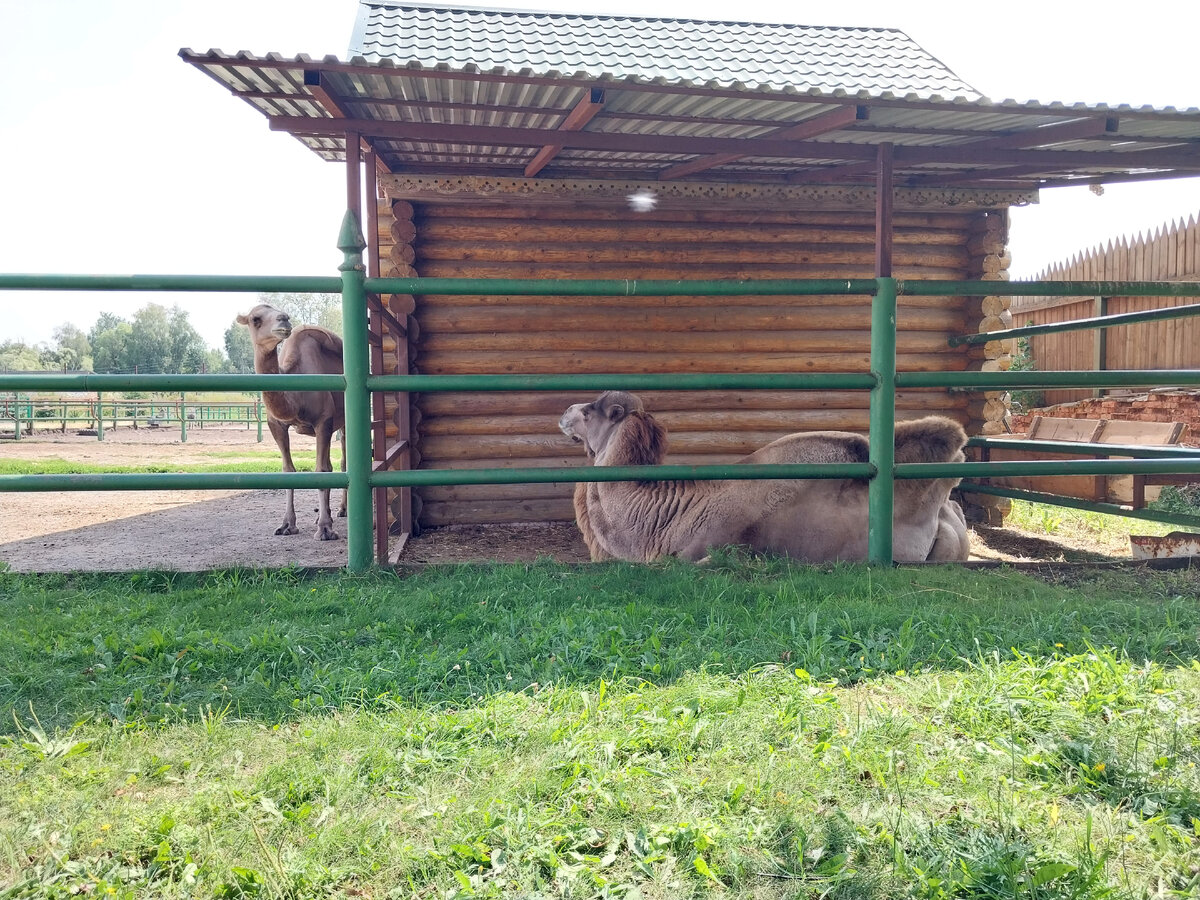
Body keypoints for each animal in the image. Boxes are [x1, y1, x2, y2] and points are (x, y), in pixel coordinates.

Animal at [235, 303, 345, 542]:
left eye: (279, 312)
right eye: (255, 319)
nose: (284, 319)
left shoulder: (324, 421)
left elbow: (321, 470)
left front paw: (325, 529)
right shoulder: (276, 425)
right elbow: (288, 471)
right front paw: (287, 525)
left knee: (342, 462)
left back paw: (342, 511)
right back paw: (327, 513)